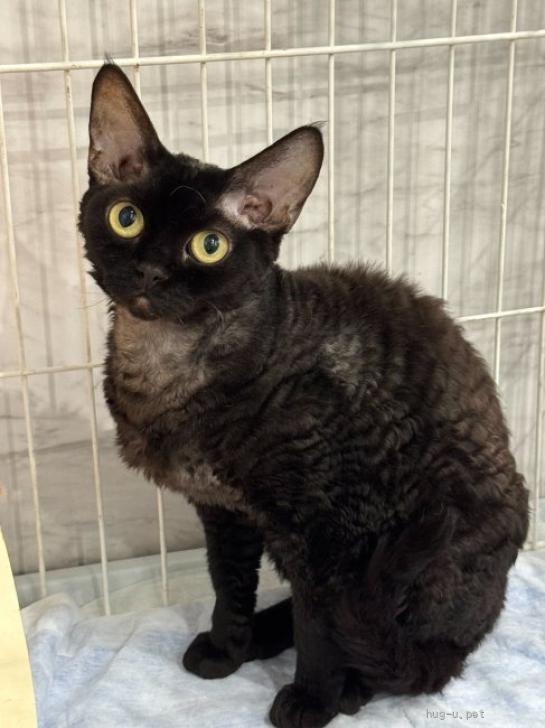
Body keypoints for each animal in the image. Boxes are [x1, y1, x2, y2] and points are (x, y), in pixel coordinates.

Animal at [79, 64, 529, 728]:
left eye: (209, 245)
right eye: (126, 217)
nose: (151, 273)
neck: (171, 361)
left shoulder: (330, 527)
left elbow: (321, 631)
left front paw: (310, 699)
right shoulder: (227, 511)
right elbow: (229, 586)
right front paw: (227, 650)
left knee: (416, 659)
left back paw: (353, 684)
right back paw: (270, 635)